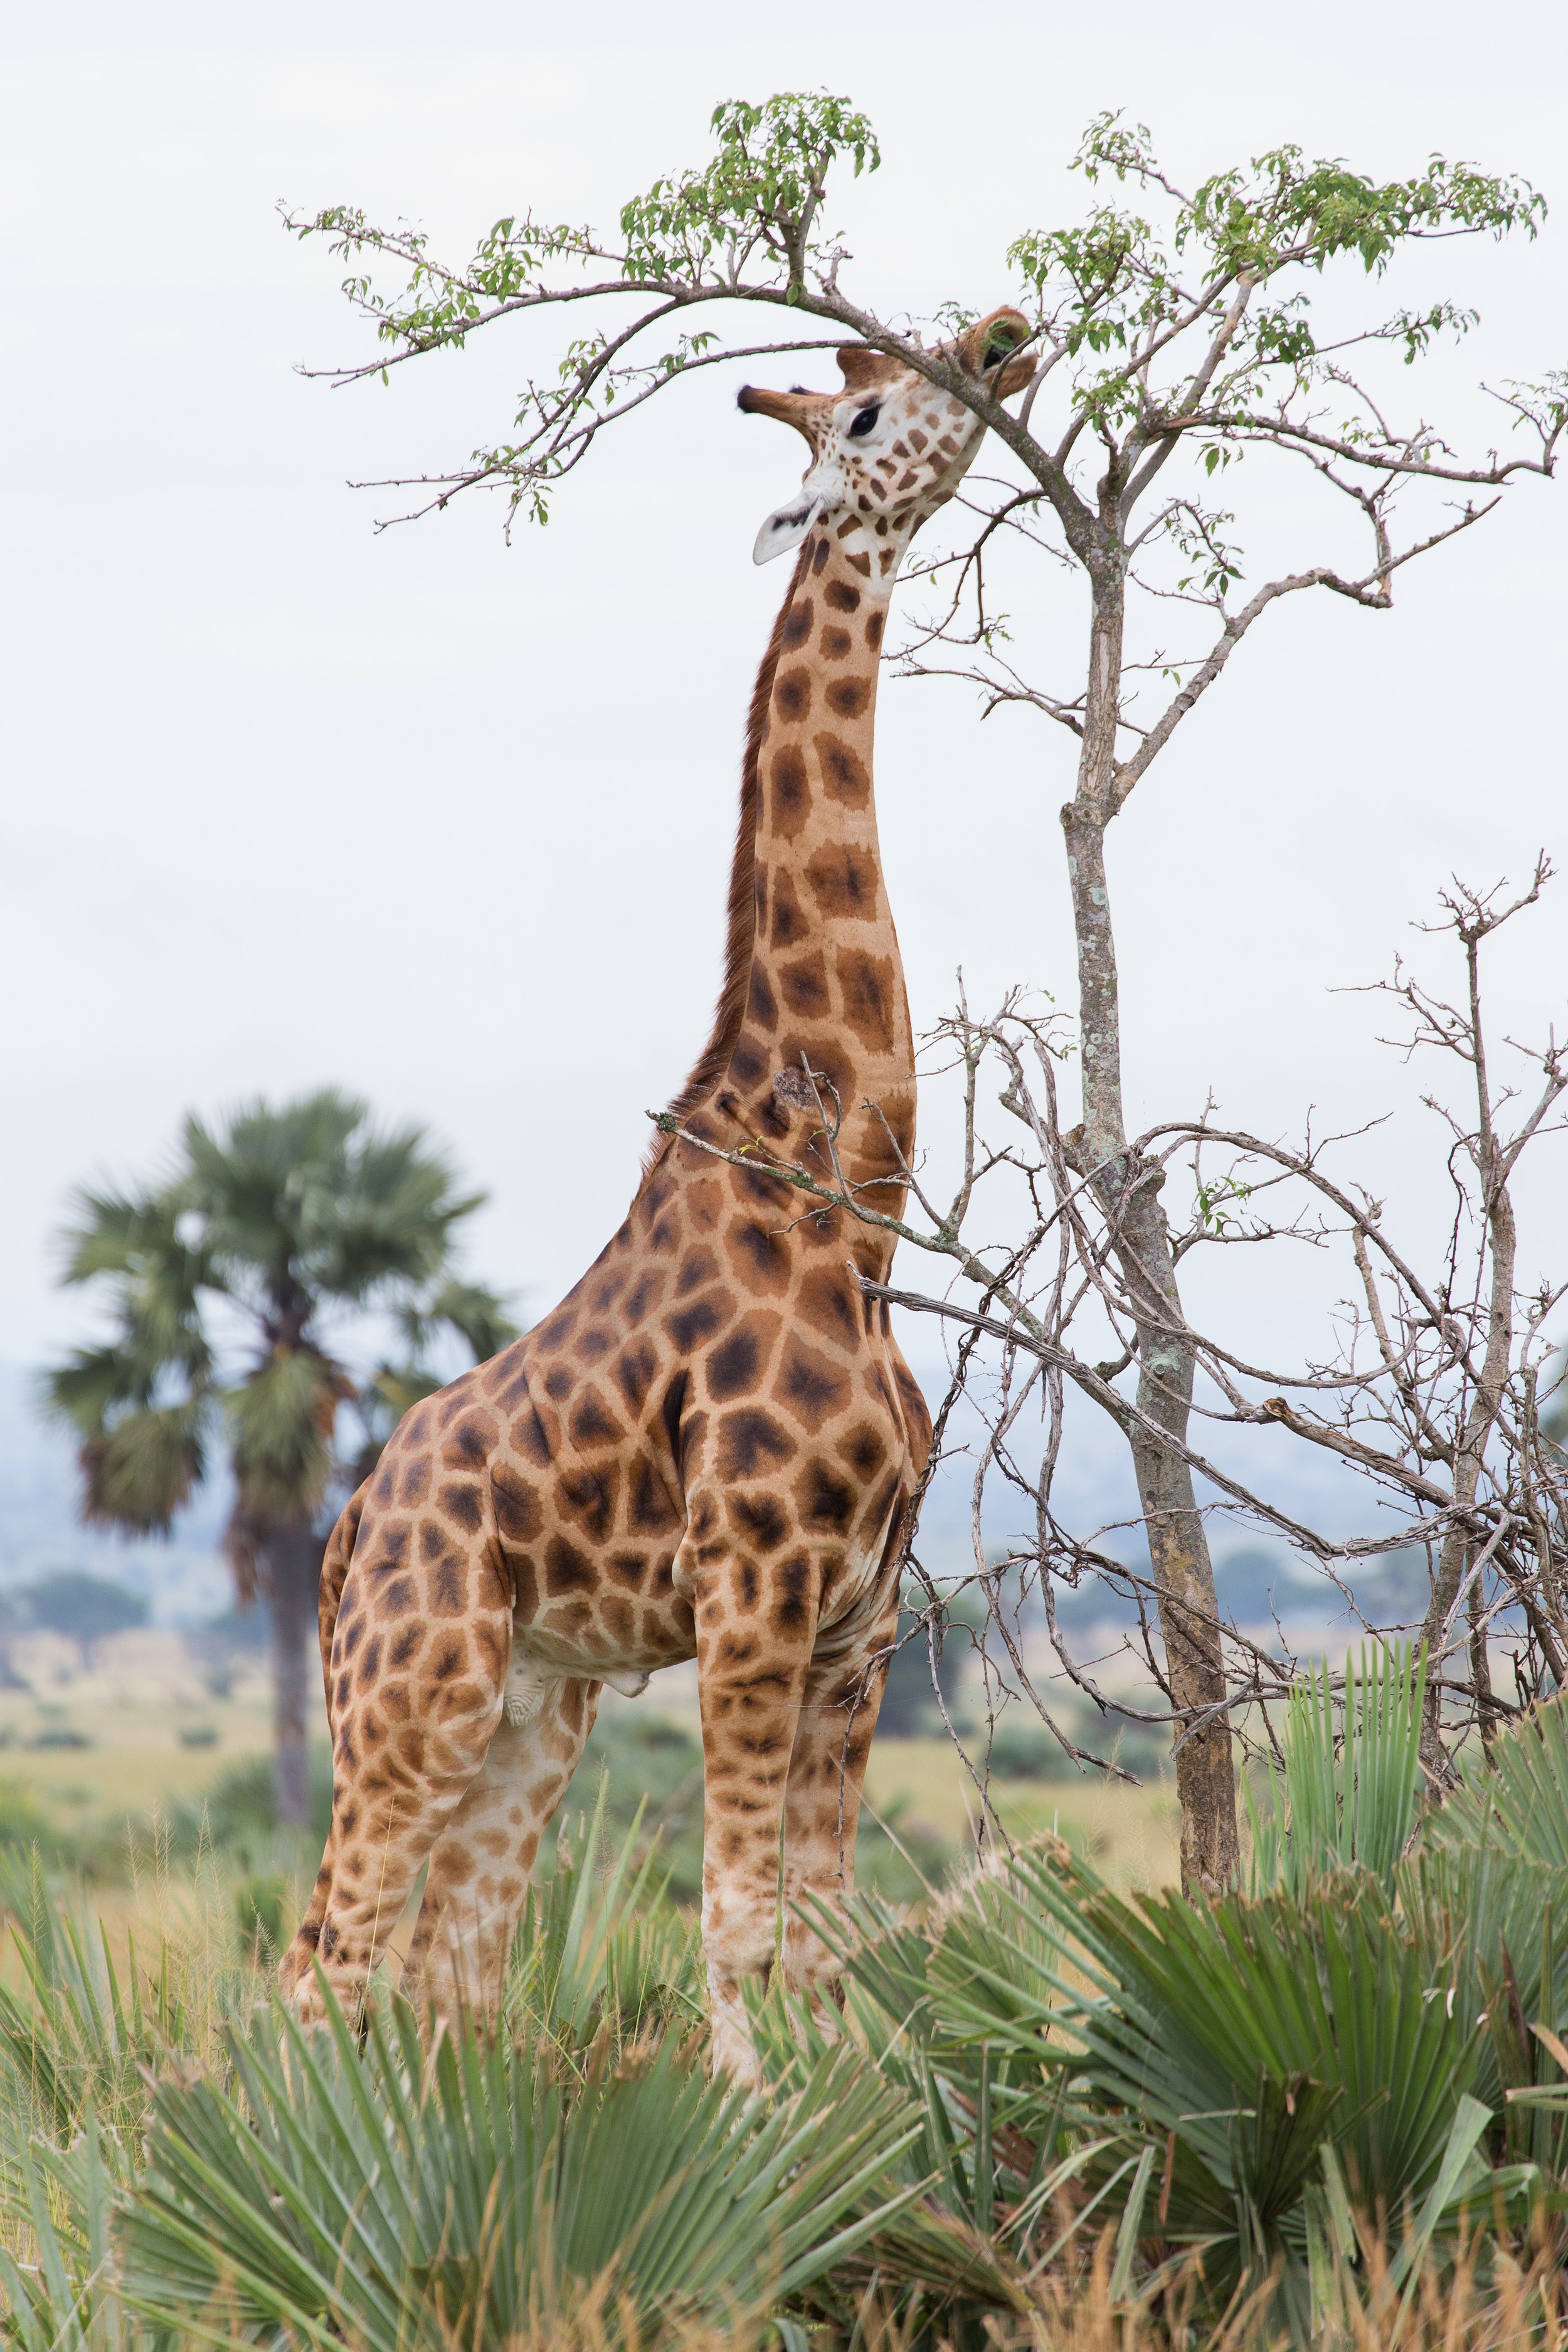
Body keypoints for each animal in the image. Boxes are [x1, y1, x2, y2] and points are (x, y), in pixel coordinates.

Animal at [279, 306, 1035, 2080]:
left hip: (528, 1707)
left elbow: (820, 1940)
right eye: (869, 414)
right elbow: (737, 1927)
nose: (1002, 338)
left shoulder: (857, 1622)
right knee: (324, 1968)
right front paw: (752, 2126)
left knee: (448, 1981)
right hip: (413, 1696)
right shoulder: (752, 1594)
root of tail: (344, 1530)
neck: (848, 1199)